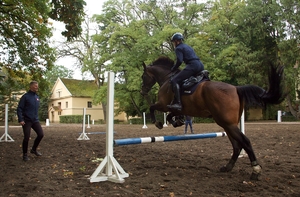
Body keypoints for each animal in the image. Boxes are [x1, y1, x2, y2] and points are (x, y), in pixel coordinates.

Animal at [139, 55, 284, 180]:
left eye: (143, 76)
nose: (142, 91)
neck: (168, 79)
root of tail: (236, 88)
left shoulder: (164, 105)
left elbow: (152, 107)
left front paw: (157, 122)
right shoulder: (174, 109)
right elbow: (170, 116)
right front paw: (177, 122)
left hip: (228, 124)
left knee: (245, 142)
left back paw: (256, 171)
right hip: (227, 125)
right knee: (237, 145)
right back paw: (228, 167)